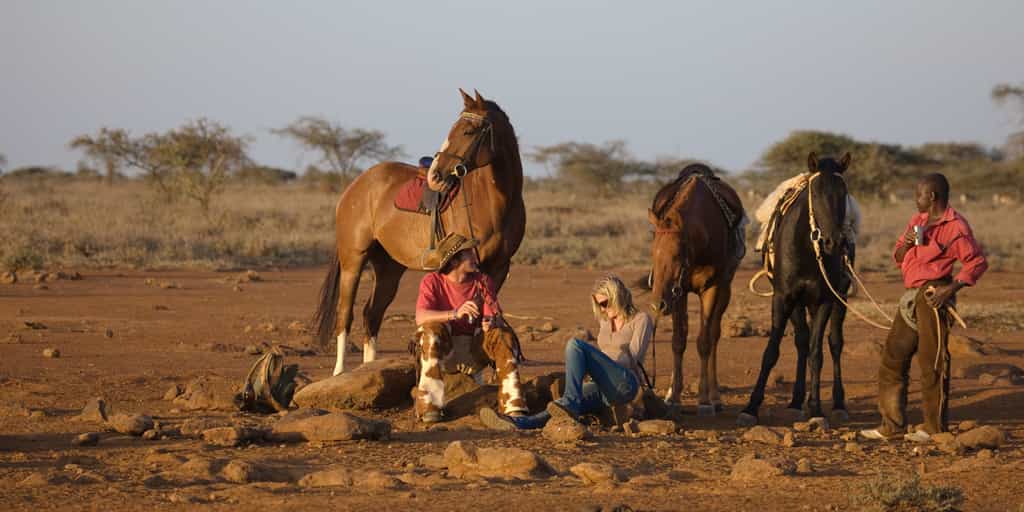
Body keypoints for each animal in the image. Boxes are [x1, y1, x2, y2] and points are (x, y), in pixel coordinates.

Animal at [312, 89, 526, 377]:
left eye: (468, 131)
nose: (436, 175)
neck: (493, 201)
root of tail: (356, 185)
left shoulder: (500, 267)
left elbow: (485, 317)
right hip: (353, 260)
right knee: (345, 314)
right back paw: (339, 372)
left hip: (388, 268)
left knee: (372, 314)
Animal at [648, 164, 746, 415]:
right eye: (652, 252)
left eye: (676, 255)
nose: (658, 305)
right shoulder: (678, 291)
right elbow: (678, 340)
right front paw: (673, 396)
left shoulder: (712, 288)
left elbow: (704, 342)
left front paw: (703, 400)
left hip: (725, 291)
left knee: (714, 336)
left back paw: (715, 397)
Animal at [738, 152, 852, 426]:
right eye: (816, 193)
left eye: (843, 192)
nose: (835, 242)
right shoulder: (783, 298)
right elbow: (772, 351)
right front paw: (751, 408)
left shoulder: (825, 300)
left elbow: (817, 353)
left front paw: (817, 409)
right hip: (799, 304)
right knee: (802, 341)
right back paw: (796, 401)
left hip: (839, 298)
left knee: (834, 343)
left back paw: (838, 404)